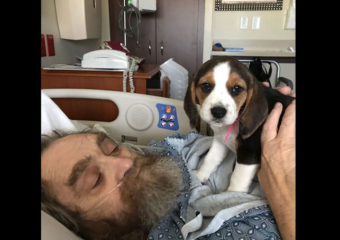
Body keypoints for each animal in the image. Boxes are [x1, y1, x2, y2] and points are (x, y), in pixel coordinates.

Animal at [185, 56, 294, 193]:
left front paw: (231, 194)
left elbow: (238, 178)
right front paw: (200, 175)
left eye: (237, 88)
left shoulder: (248, 153)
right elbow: (210, 159)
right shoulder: (220, 141)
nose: (218, 112)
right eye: (206, 85)